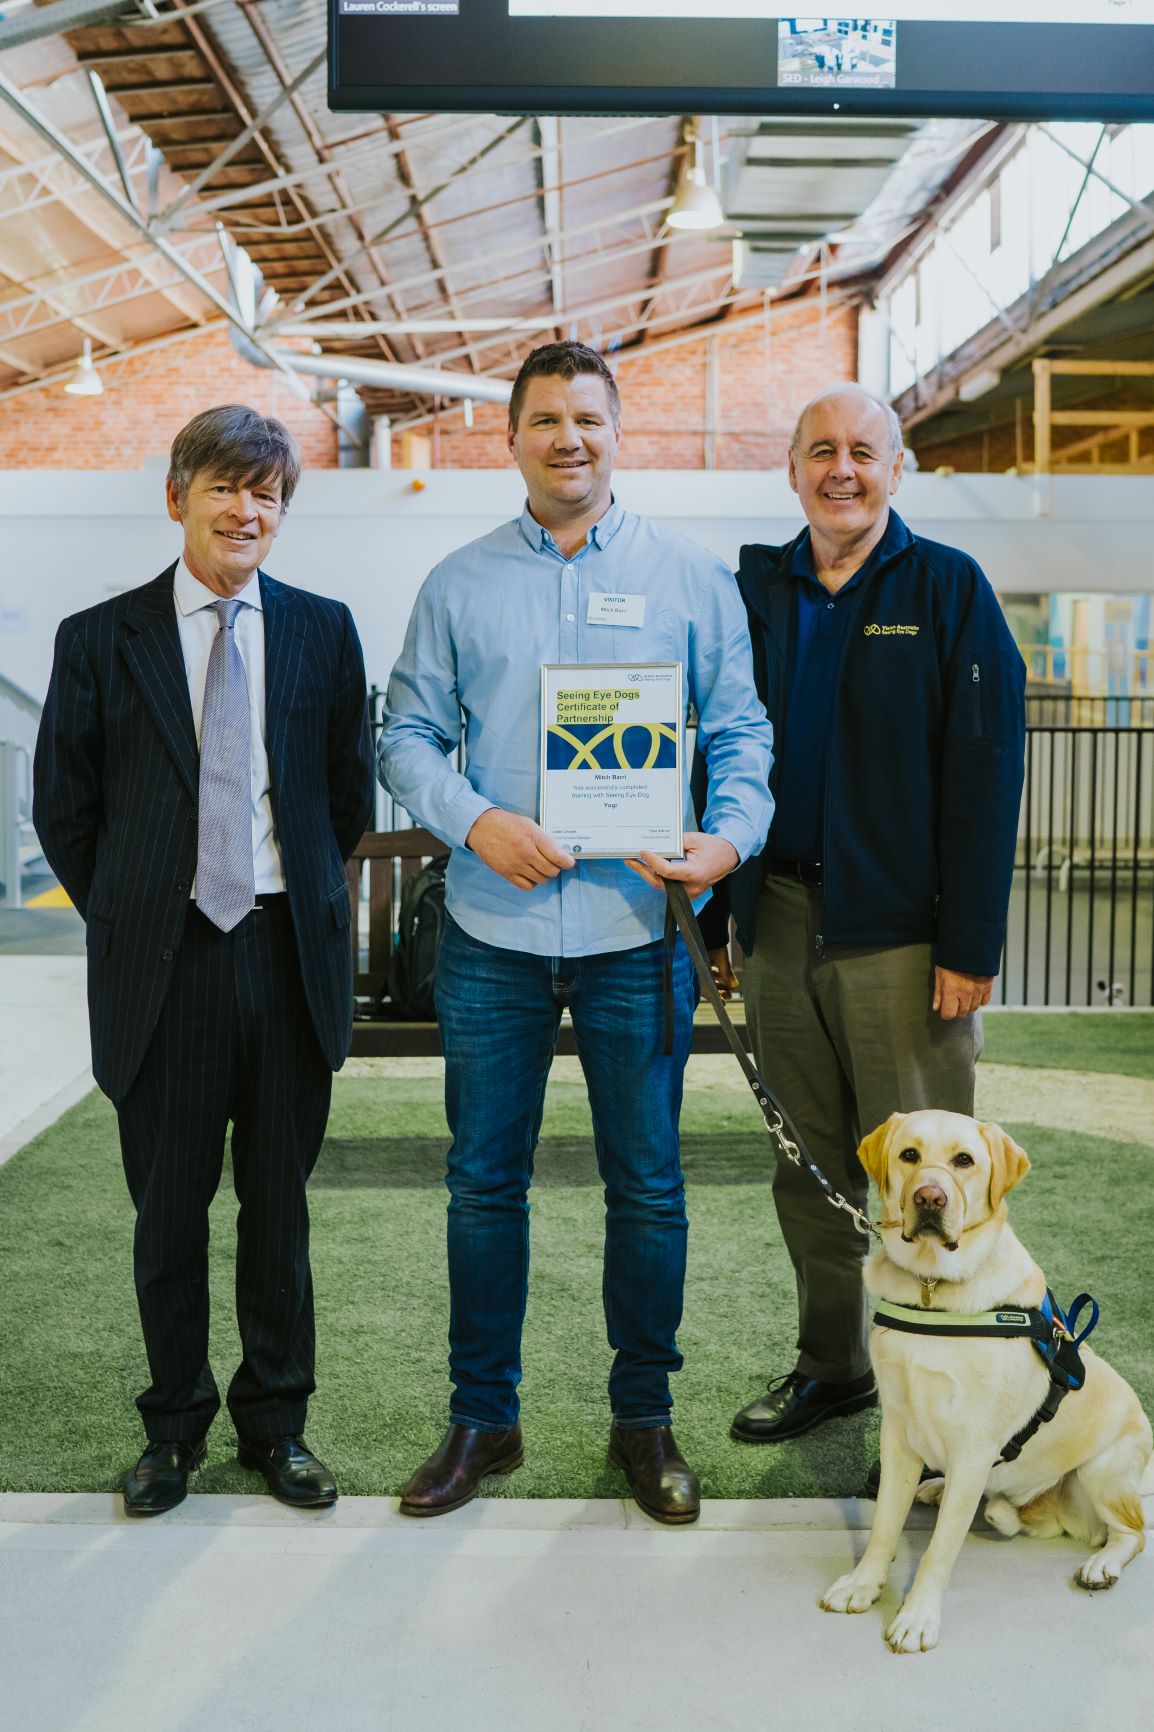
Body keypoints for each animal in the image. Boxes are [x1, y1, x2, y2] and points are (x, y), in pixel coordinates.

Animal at [817, 1108, 1150, 1648]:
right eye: (909, 1154)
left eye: (964, 1160)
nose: (930, 1197)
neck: (933, 1287)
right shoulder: (898, 1431)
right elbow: (885, 1524)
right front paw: (863, 1585)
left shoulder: (975, 1445)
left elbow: (941, 1546)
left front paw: (917, 1617)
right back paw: (942, 1489)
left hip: (1104, 1469)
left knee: (1132, 1534)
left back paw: (1101, 1564)